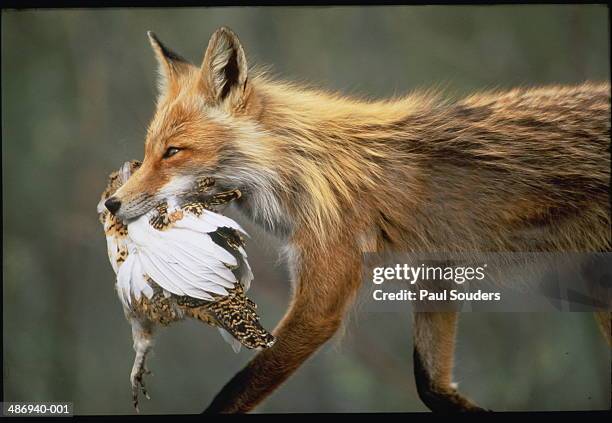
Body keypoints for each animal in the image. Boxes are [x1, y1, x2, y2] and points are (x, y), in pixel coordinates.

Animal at [106, 28, 612, 412]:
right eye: (150, 150)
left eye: (173, 152)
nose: (111, 204)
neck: (305, 171)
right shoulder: (435, 270)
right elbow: (430, 384)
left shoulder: (322, 300)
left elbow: (235, 391)